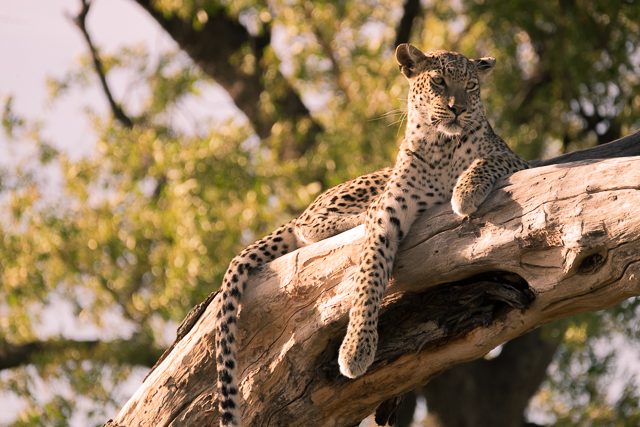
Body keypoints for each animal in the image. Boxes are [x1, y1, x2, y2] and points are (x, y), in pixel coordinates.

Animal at [212, 42, 528, 424]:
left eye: (471, 87)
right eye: (438, 81)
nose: (459, 108)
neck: (440, 144)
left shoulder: (519, 162)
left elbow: (486, 160)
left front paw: (465, 192)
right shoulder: (390, 208)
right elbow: (368, 275)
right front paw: (356, 349)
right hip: (364, 186)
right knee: (307, 225)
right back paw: (353, 218)